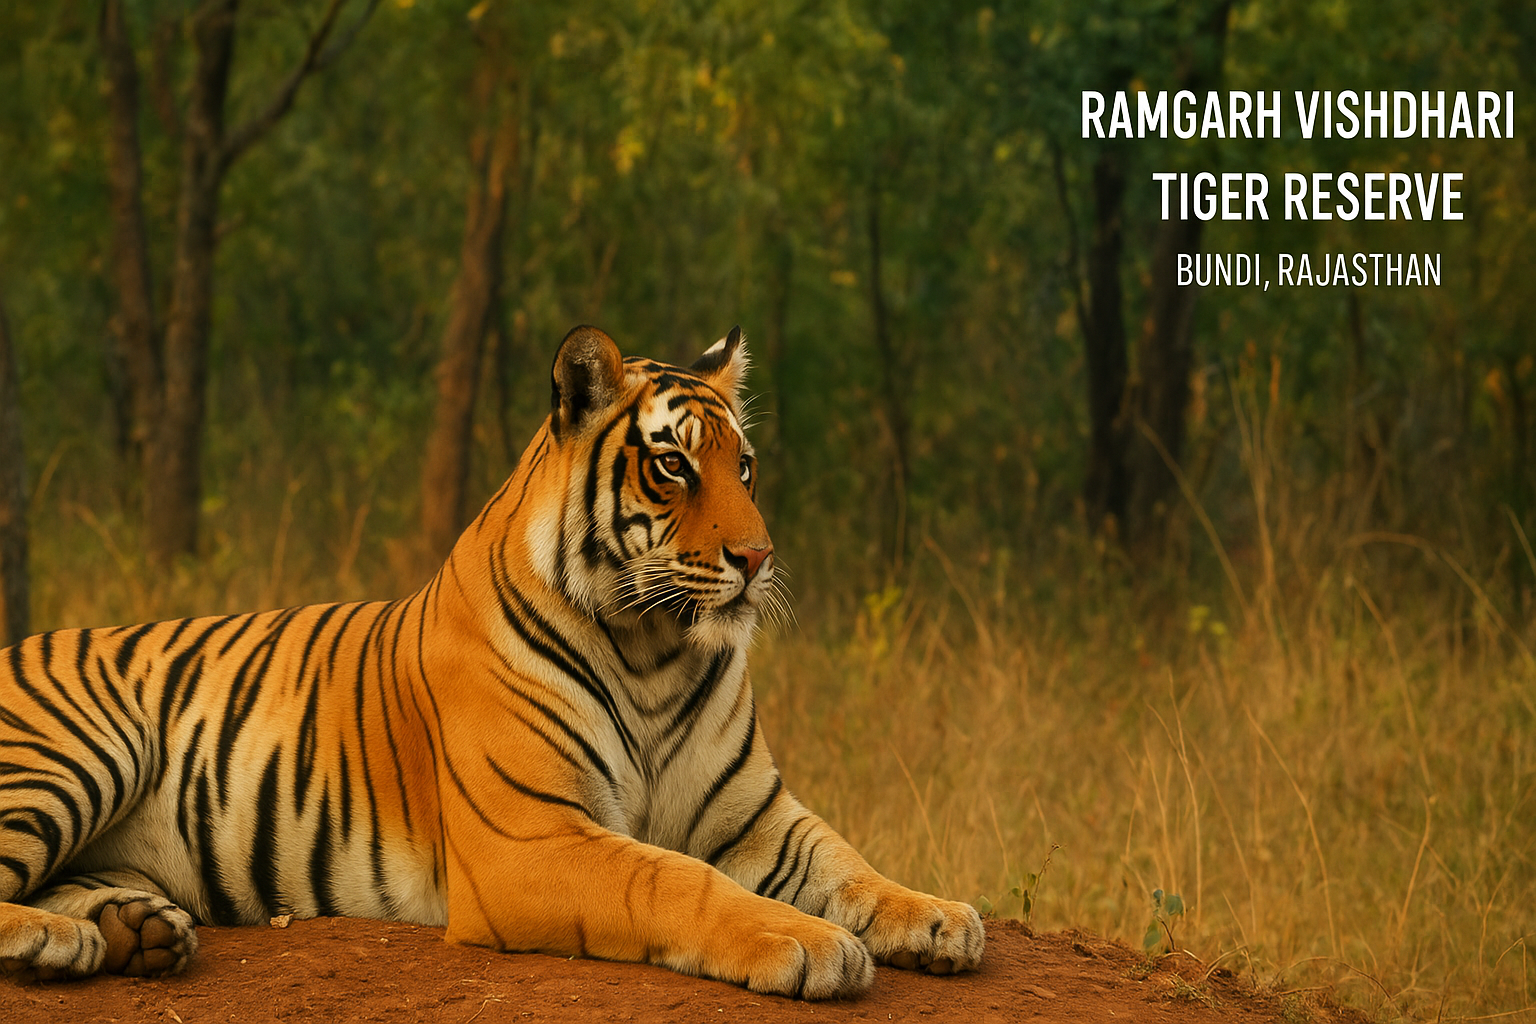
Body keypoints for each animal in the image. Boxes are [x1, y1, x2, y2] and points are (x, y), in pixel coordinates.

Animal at [0, 325, 984, 998]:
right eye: (672, 466)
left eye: (744, 467)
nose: (757, 559)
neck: (656, 650)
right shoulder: (532, 838)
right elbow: (677, 878)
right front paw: (810, 943)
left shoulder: (753, 814)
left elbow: (847, 862)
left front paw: (939, 917)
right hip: (78, 752)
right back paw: (66, 941)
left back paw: (140, 930)